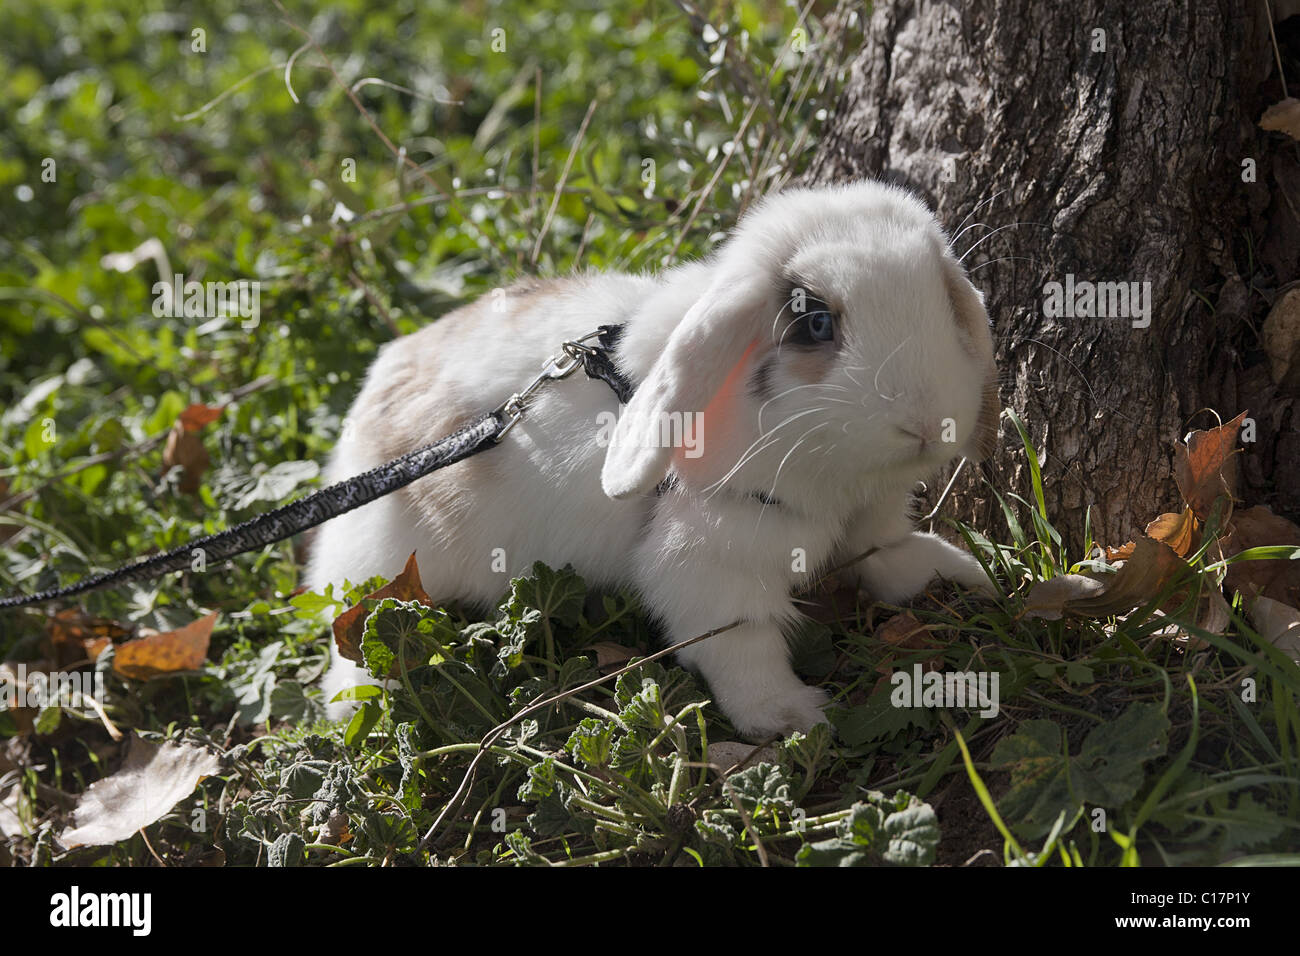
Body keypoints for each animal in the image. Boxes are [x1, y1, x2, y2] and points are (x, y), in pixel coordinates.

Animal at [304, 179, 993, 738]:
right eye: (815, 323)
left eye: (943, 298)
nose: (927, 423)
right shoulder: (708, 563)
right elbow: (743, 646)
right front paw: (792, 717)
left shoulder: (868, 523)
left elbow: (891, 557)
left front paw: (966, 574)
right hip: (383, 574)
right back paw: (356, 703)